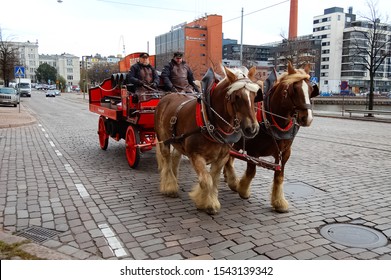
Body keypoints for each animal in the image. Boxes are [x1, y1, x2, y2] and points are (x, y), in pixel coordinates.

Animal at [225, 61, 320, 212]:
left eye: (311, 89)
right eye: (294, 89)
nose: (307, 118)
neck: (270, 118)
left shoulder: (284, 153)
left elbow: (279, 176)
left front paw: (279, 202)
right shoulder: (253, 151)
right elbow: (251, 172)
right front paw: (243, 190)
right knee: (228, 159)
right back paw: (232, 181)